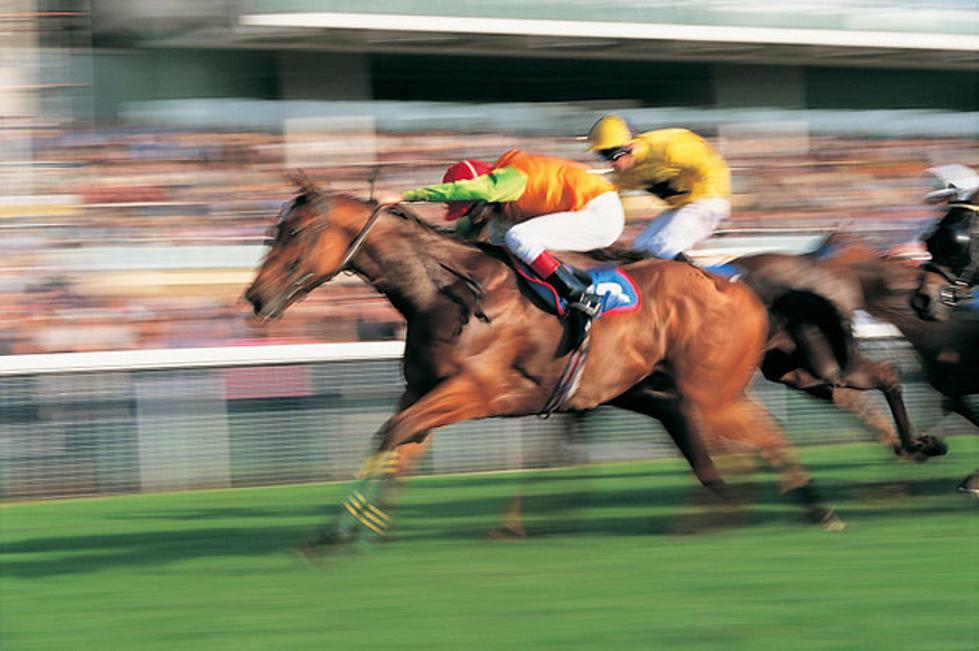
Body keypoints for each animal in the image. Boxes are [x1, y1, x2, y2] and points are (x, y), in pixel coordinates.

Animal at [245, 182, 844, 552]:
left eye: (294, 233)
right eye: (272, 232)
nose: (254, 297)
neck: (445, 291)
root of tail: (738, 285)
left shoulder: (477, 391)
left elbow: (393, 435)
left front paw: (341, 535)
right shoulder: (422, 391)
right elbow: (396, 445)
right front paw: (344, 535)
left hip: (709, 393)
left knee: (766, 434)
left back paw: (814, 509)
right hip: (666, 396)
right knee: (714, 456)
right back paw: (725, 512)